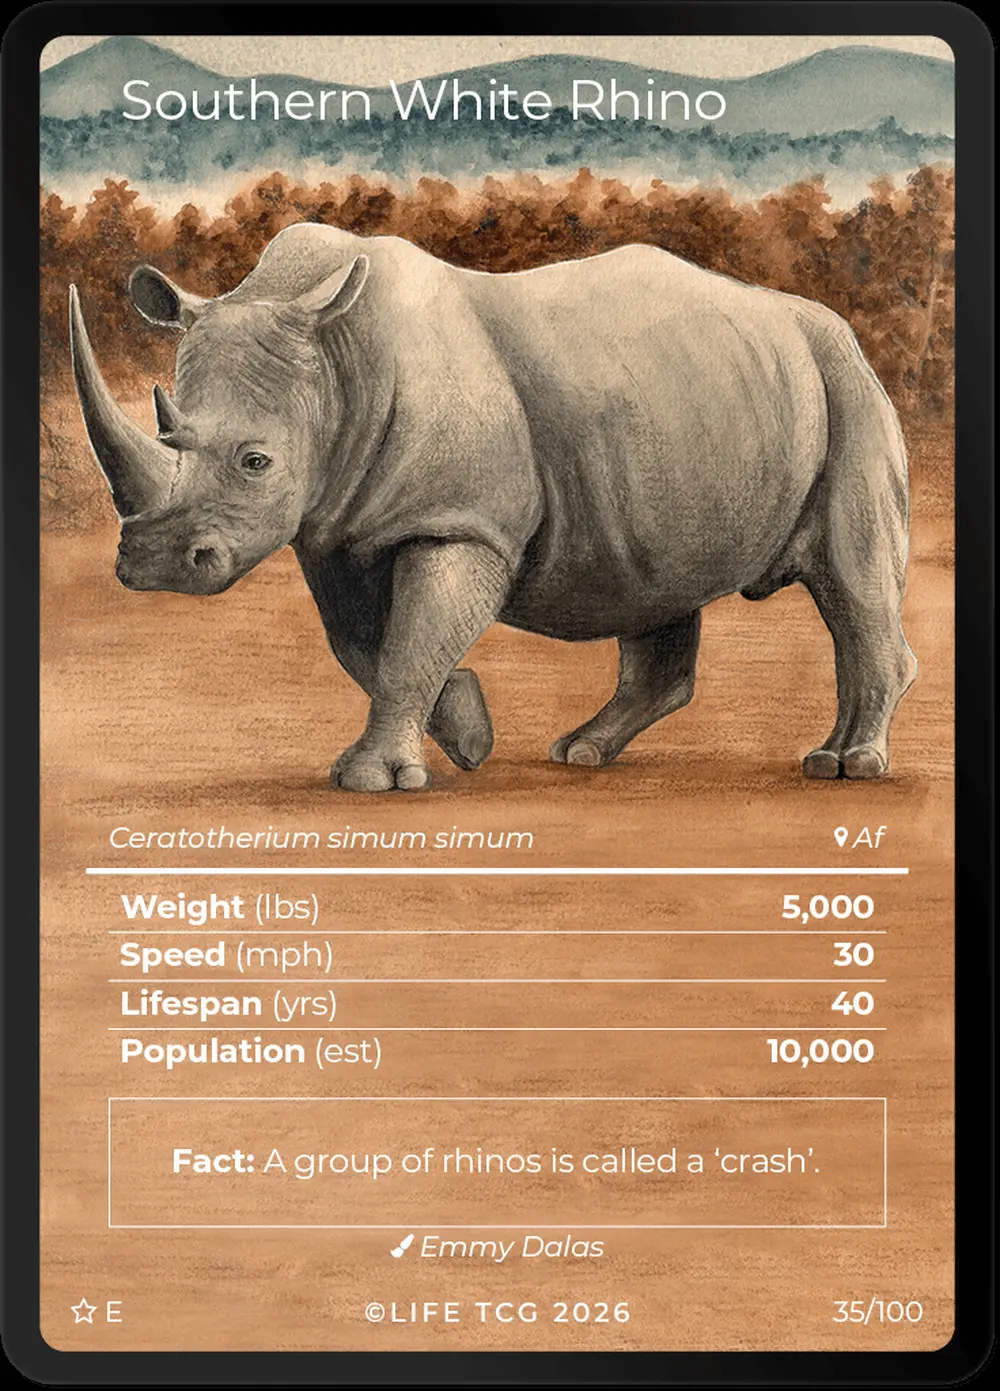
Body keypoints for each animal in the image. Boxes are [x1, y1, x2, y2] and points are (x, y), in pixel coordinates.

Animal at [69, 224, 914, 791]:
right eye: (168, 431)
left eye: (256, 462)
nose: (157, 565)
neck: (335, 363)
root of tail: (826, 324)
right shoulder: (333, 529)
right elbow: (363, 644)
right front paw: (469, 733)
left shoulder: (459, 519)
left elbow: (410, 637)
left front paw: (373, 779)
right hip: (697, 408)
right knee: (658, 580)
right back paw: (581, 752)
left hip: (846, 382)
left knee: (853, 582)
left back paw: (845, 765)